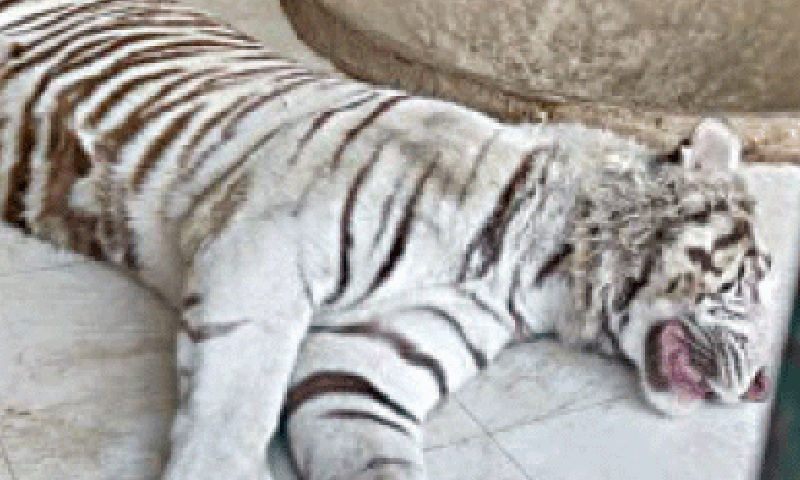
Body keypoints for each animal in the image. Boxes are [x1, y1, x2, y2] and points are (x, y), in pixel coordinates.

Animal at [0, 1, 775, 479]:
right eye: (750, 283)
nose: (768, 385)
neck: (541, 274)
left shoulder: (367, 354)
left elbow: (364, 442)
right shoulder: (263, 256)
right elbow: (235, 410)